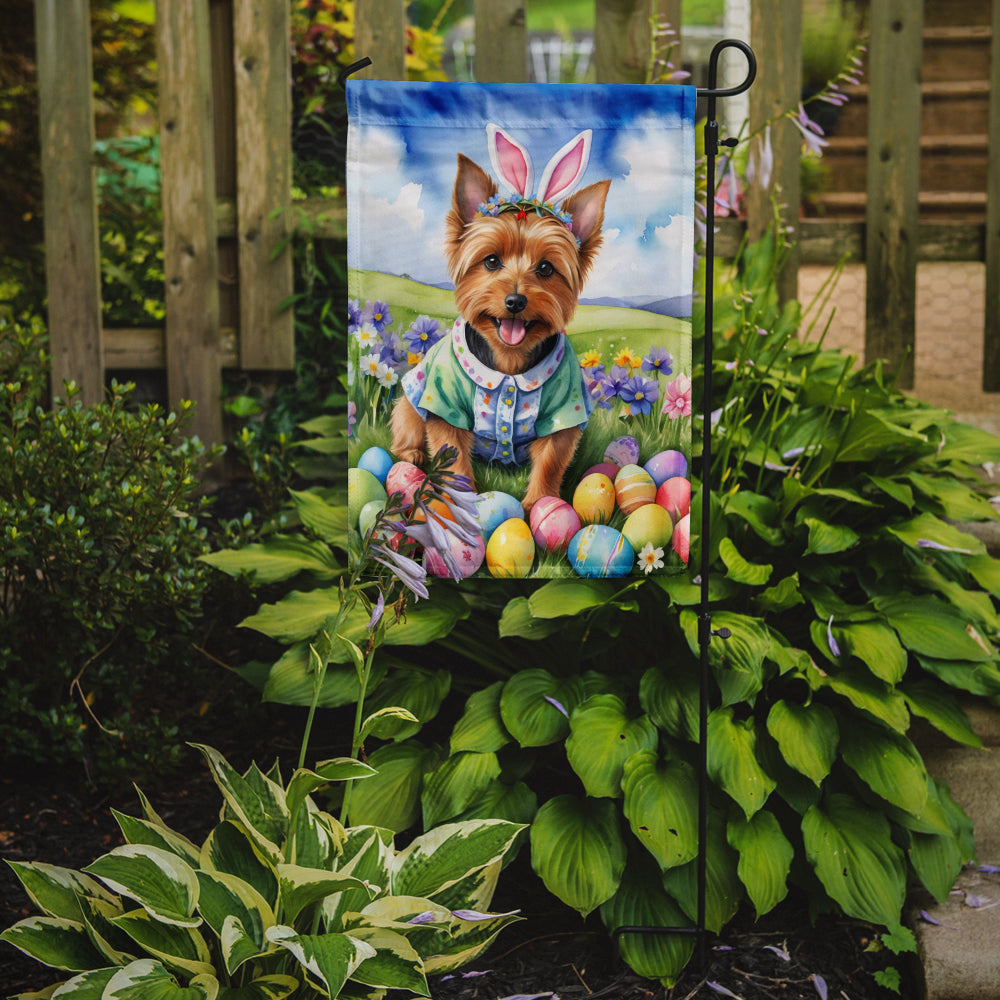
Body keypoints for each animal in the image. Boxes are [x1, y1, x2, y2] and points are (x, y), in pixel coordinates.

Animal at [390, 125, 608, 512]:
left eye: (546, 268)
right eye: (491, 261)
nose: (516, 300)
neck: (508, 364)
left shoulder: (564, 411)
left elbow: (551, 460)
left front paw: (539, 506)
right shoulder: (444, 405)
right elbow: (453, 455)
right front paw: (461, 502)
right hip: (412, 400)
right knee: (408, 422)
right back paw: (411, 455)